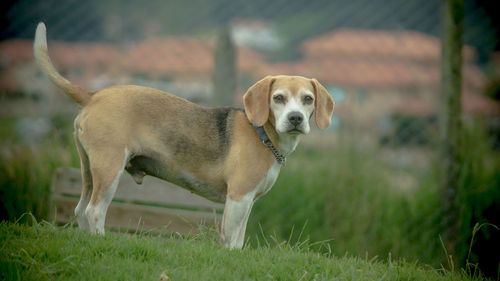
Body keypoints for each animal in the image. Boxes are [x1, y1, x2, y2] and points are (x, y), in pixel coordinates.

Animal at [33, 23, 334, 248]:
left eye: (307, 99)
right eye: (278, 98)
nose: (295, 118)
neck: (262, 133)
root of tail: (94, 95)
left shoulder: (247, 201)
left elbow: (238, 241)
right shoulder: (238, 197)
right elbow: (230, 241)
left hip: (88, 171)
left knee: (80, 210)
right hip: (109, 170)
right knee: (95, 211)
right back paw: (102, 240)